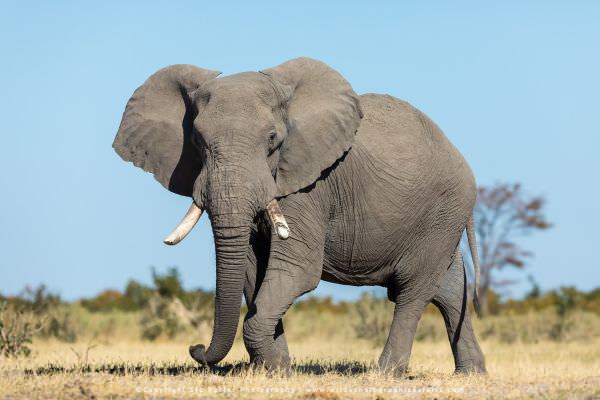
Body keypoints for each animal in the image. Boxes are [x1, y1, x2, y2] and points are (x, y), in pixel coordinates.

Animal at [112, 57, 488, 376]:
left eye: (273, 140)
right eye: (196, 139)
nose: (196, 348)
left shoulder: (309, 186)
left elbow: (296, 269)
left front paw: (274, 367)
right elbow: (254, 273)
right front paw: (275, 370)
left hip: (444, 211)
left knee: (413, 291)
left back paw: (385, 374)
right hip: (441, 218)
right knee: (449, 289)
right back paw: (471, 373)